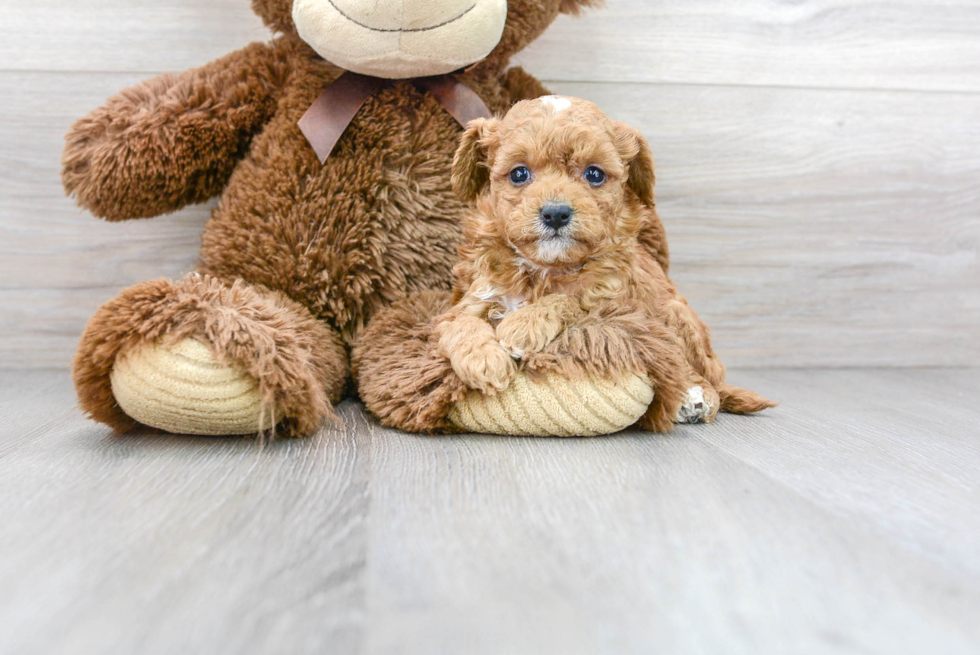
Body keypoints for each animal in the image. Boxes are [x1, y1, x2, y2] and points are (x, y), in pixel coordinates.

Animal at [436, 95, 772, 434]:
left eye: (594, 174)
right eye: (519, 174)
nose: (555, 213)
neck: (547, 269)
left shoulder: (611, 303)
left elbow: (569, 300)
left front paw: (524, 325)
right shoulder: (475, 295)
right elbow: (459, 323)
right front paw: (484, 360)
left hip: (678, 319)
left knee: (696, 372)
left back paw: (695, 398)